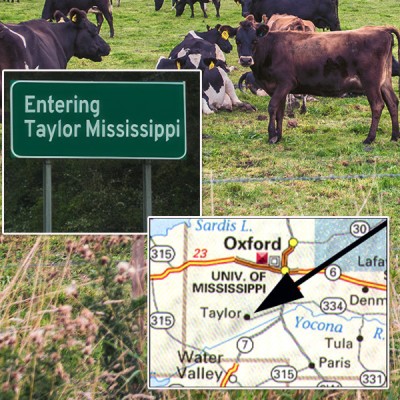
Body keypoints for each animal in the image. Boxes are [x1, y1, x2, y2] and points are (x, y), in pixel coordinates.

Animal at [225, 17, 400, 145]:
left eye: (255, 40)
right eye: (238, 41)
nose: (246, 60)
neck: (272, 48)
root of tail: (381, 29)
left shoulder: (285, 83)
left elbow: (272, 107)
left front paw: (271, 136)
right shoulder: (279, 88)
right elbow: (279, 111)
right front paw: (278, 136)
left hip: (371, 82)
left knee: (377, 105)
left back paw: (369, 138)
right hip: (384, 82)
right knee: (392, 102)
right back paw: (394, 136)